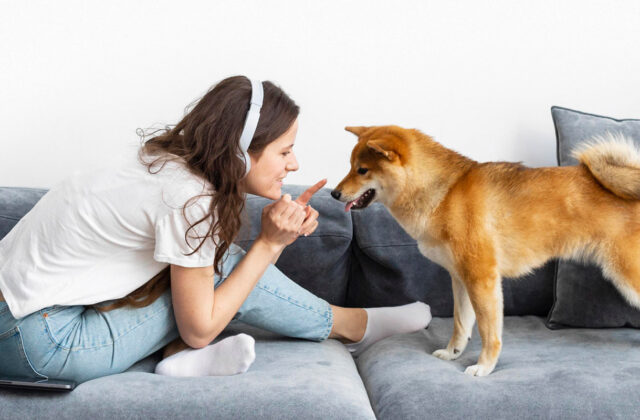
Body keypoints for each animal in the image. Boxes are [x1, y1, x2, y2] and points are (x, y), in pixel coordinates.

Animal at [330, 124, 640, 378]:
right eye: (350, 166)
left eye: (362, 170)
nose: (334, 193)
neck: (446, 193)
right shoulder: (460, 279)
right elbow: (461, 324)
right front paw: (453, 353)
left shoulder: (482, 279)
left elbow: (488, 331)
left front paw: (484, 366)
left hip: (627, 274)